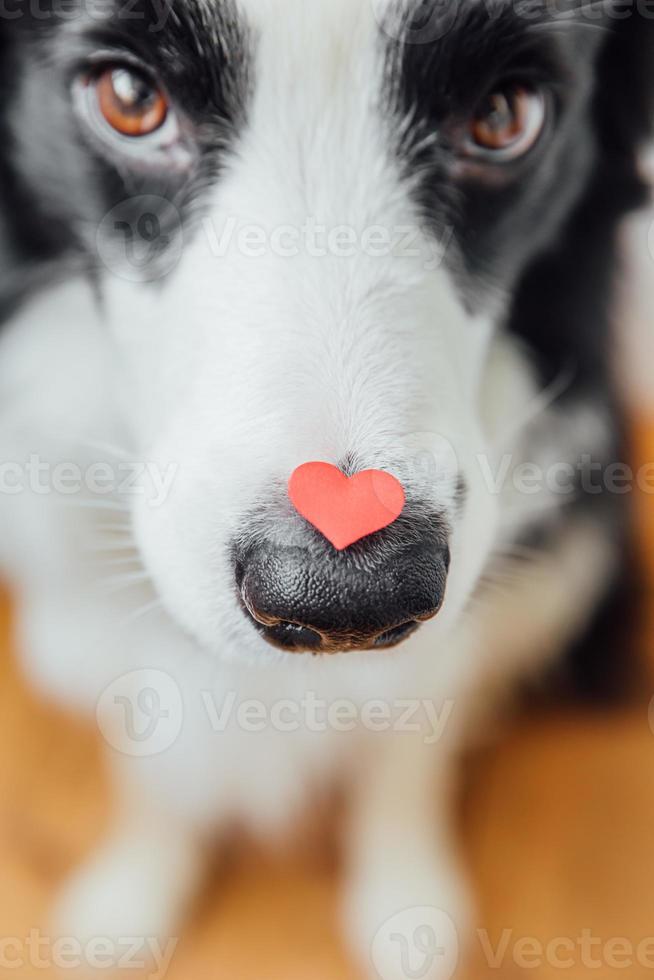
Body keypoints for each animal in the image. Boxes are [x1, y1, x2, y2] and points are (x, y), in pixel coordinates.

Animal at [0, 0, 652, 976]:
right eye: (128, 99)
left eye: (505, 115)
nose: (346, 600)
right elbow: (152, 760)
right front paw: (132, 891)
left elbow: (408, 750)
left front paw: (406, 908)